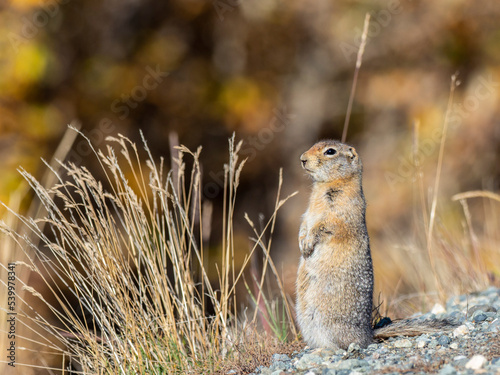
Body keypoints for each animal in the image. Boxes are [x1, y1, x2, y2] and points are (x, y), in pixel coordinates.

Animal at [294, 140, 456, 352]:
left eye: (330, 151)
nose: (302, 158)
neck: (325, 186)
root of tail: (368, 334)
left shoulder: (339, 213)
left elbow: (324, 227)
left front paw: (308, 244)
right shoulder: (307, 213)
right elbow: (304, 224)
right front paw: (302, 243)